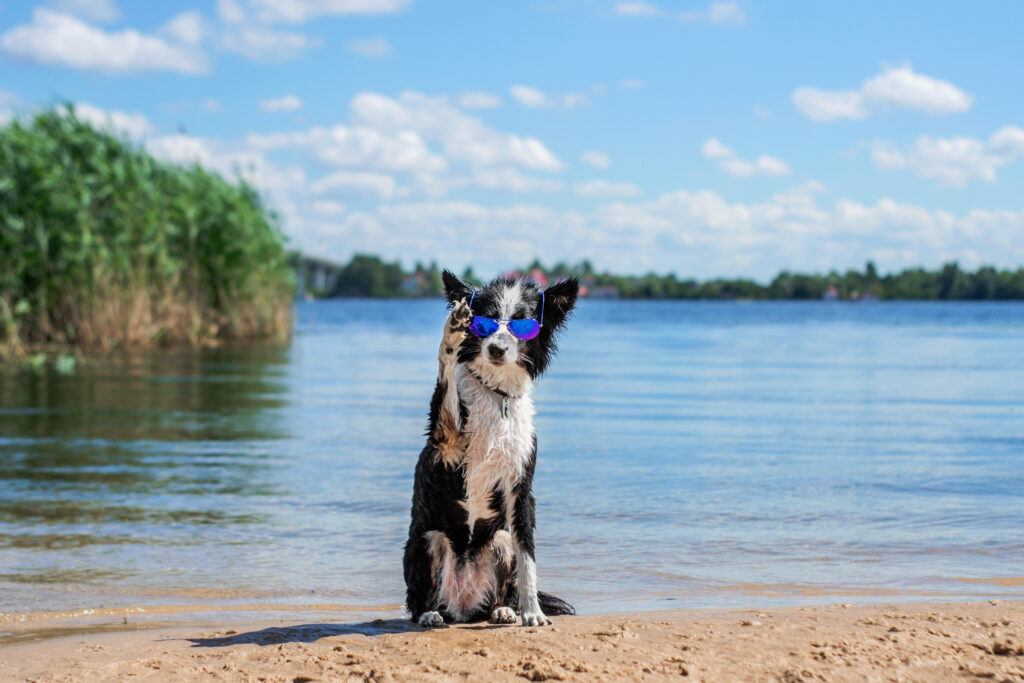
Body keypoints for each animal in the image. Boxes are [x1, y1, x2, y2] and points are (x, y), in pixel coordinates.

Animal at [403, 270, 581, 626]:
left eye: (522, 323)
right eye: (484, 322)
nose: (497, 349)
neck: (497, 395)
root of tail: (462, 607)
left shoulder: (520, 487)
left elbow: (528, 559)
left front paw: (532, 612)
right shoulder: (447, 441)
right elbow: (446, 375)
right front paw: (452, 332)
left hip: (500, 539)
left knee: (500, 591)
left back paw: (504, 610)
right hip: (430, 540)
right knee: (419, 602)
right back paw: (430, 614)